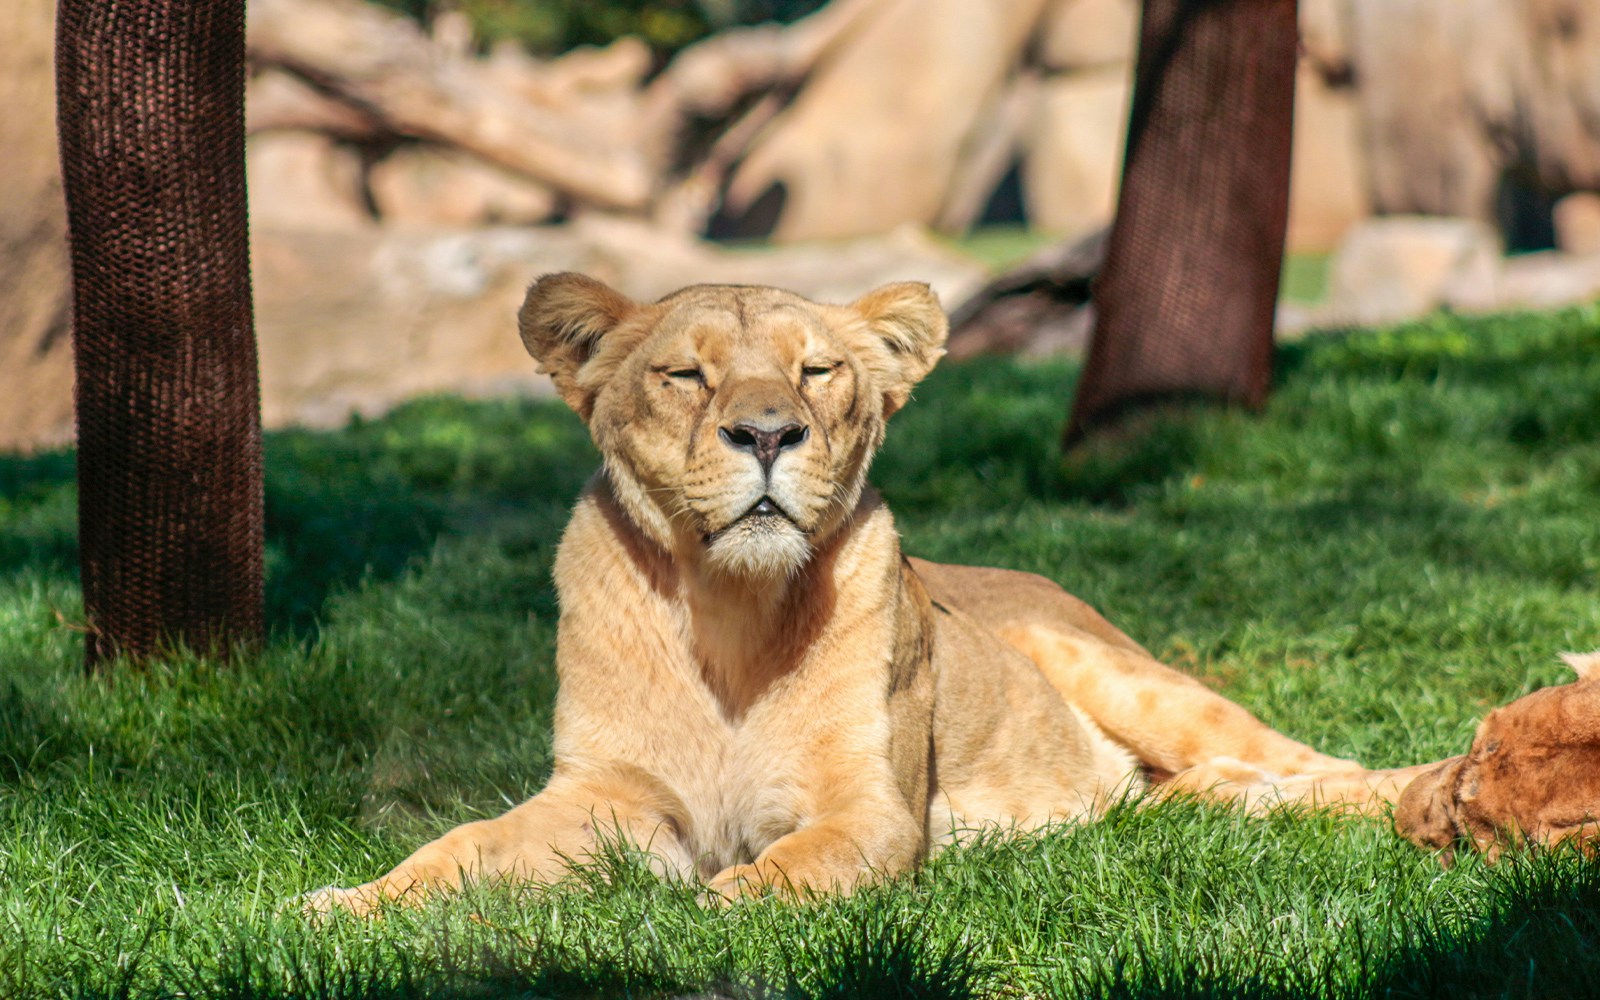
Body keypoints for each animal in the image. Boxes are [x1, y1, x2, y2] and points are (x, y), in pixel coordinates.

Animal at [306, 274, 1431, 914]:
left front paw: (715, 909)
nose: (767, 432)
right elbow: (461, 846)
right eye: (685, 375)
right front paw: (346, 906)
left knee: (1326, 764)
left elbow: (790, 869)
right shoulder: (607, 796)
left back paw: (1403, 795)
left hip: (1123, 671)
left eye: (816, 372)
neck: (728, 613)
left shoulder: (870, 808)